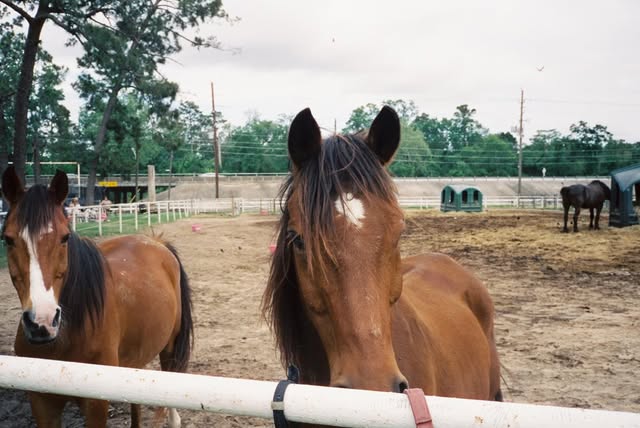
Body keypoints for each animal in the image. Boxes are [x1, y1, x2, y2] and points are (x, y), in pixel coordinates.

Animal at [1, 167, 193, 428]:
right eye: (8, 239)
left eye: (65, 237)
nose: (42, 322)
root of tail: (156, 241)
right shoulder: (42, 402)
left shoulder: (96, 405)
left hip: (170, 346)